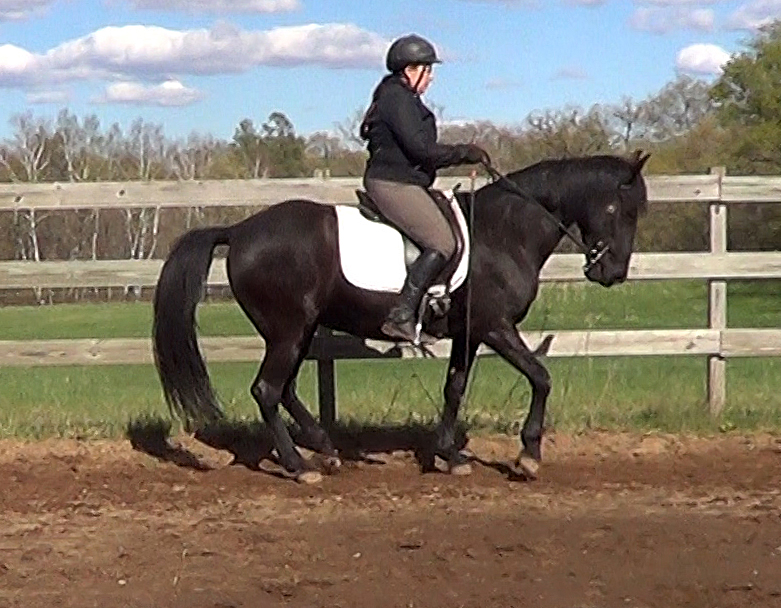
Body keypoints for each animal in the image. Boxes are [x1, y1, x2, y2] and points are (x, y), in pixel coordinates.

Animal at [152, 151, 650, 483]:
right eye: (617, 208)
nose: (612, 272)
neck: (504, 232)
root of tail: (239, 230)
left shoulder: (469, 334)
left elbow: (454, 388)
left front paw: (449, 456)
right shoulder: (496, 327)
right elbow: (542, 377)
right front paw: (527, 457)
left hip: (296, 330)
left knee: (284, 389)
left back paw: (326, 451)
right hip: (289, 330)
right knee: (268, 390)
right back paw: (300, 467)